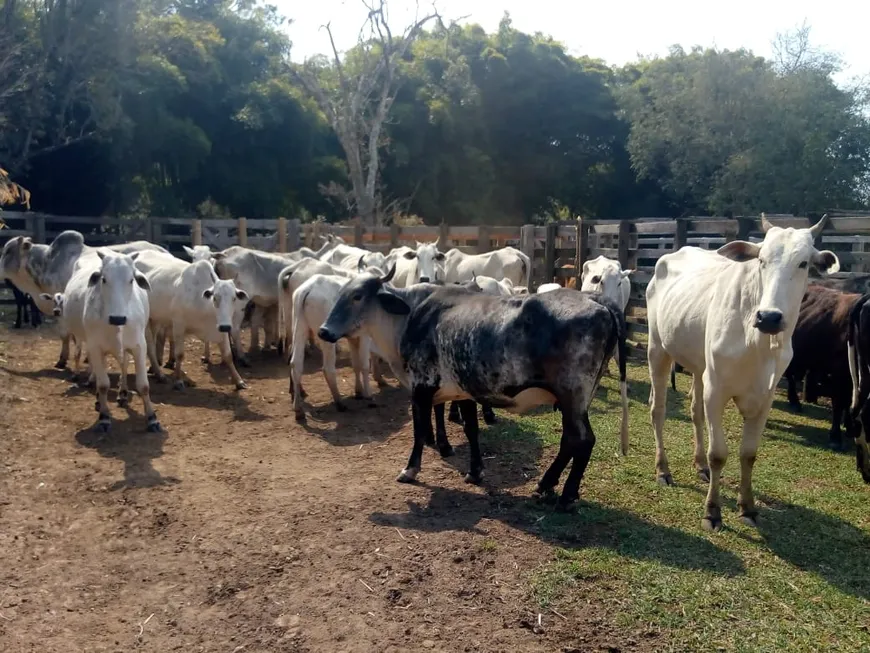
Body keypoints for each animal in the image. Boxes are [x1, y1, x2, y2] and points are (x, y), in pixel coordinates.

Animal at [318, 264, 628, 510]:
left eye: (357, 296)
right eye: (340, 293)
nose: (323, 331)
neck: (409, 317)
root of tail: (599, 301)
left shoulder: (421, 387)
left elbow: (419, 431)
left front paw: (410, 470)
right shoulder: (462, 390)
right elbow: (471, 429)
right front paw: (475, 471)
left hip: (572, 395)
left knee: (583, 440)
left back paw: (565, 495)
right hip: (574, 401)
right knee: (570, 441)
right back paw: (546, 485)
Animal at [648, 216, 836, 532]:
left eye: (803, 263)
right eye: (761, 260)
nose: (769, 317)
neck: (758, 343)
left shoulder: (764, 397)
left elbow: (748, 454)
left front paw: (747, 507)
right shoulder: (717, 390)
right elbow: (718, 454)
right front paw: (712, 511)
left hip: (700, 366)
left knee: (695, 410)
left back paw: (698, 465)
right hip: (658, 349)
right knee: (658, 410)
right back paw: (663, 469)